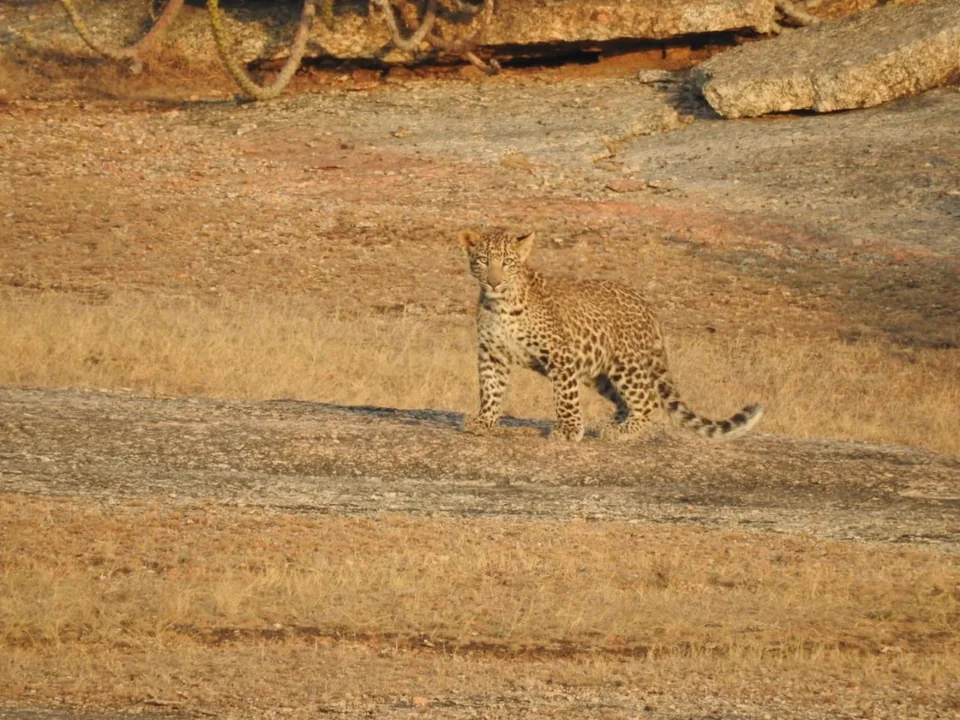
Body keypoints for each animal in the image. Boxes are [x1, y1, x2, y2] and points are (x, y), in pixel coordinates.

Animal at [458, 228, 763, 442]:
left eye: (508, 262)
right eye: (483, 261)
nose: (494, 282)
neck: (500, 304)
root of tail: (646, 304)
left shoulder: (559, 353)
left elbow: (566, 396)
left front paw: (569, 430)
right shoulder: (492, 353)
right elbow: (490, 389)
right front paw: (483, 422)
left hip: (625, 364)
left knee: (647, 400)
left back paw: (623, 431)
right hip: (599, 373)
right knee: (624, 401)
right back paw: (611, 425)